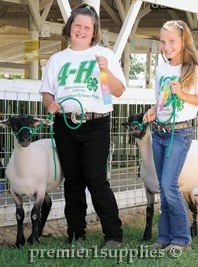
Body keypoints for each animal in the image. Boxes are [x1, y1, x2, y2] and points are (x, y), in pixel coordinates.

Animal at [0, 115, 63, 249]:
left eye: (31, 123)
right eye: (13, 124)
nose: (25, 139)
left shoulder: (39, 190)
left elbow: (35, 214)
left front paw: (34, 241)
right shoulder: (14, 191)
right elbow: (19, 215)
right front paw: (20, 242)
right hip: (45, 187)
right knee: (48, 204)